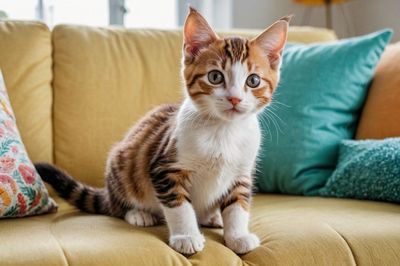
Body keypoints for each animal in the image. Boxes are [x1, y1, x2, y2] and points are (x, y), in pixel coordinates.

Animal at [35, 7, 290, 255]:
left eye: (253, 80)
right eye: (215, 76)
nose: (235, 99)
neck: (223, 130)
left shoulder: (241, 173)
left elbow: (238, 206)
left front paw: (237, 236)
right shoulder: (165, 167)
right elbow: (179, 205)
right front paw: (186, 236)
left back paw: (212, 217)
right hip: (122, 163)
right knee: (118, 206)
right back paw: (139, 214)